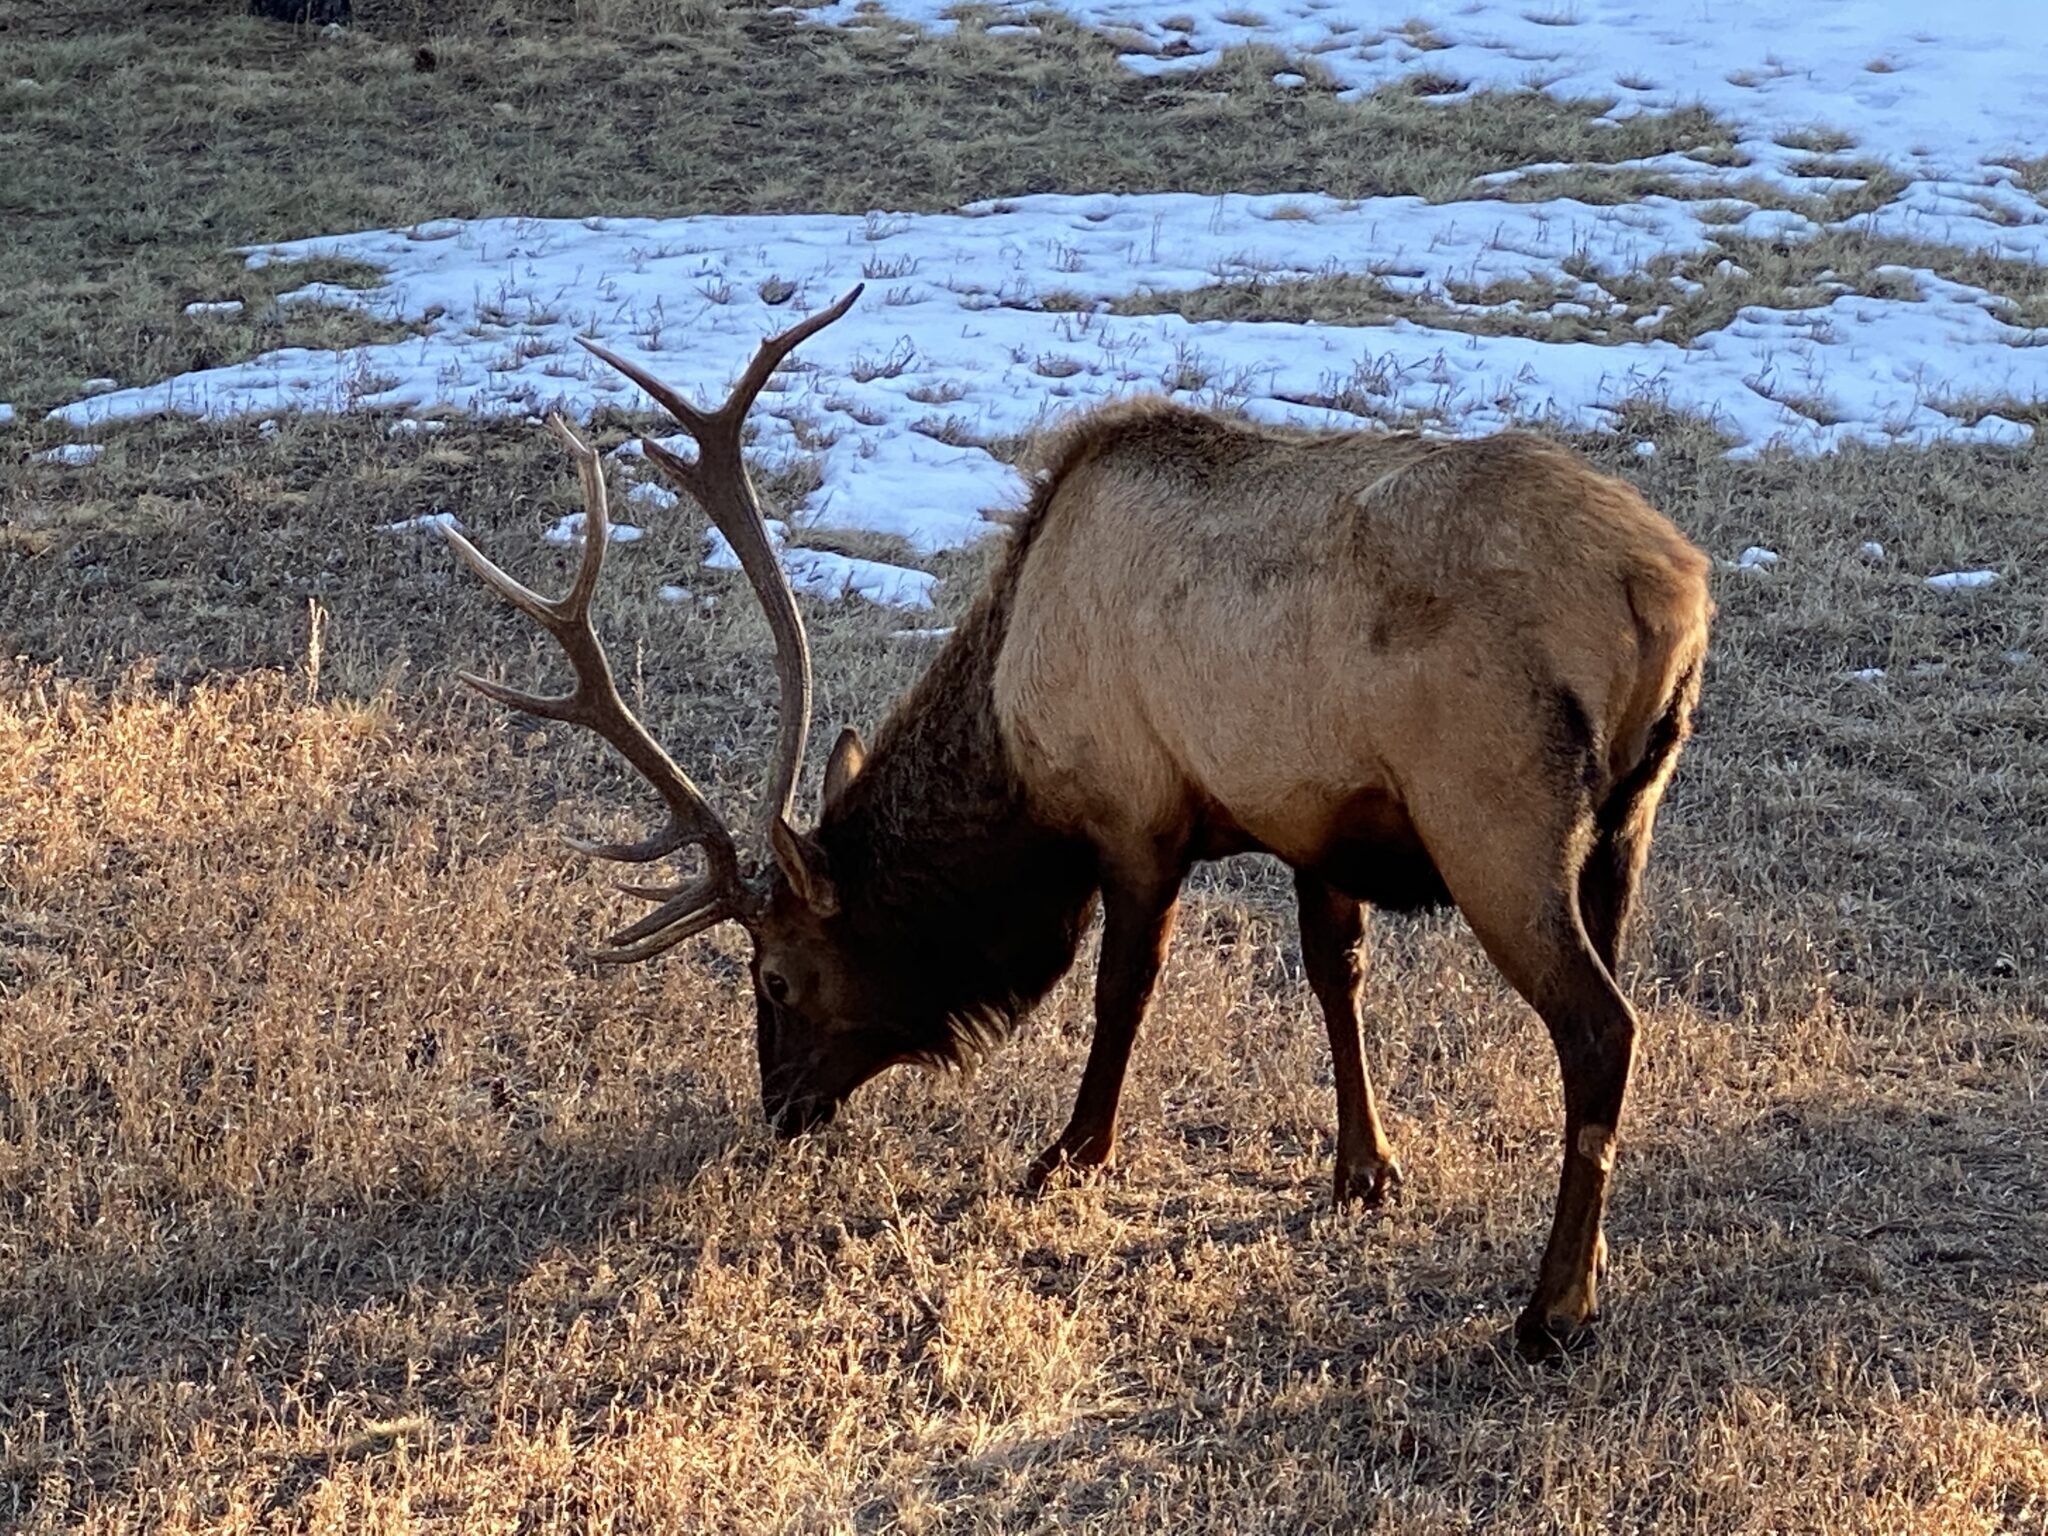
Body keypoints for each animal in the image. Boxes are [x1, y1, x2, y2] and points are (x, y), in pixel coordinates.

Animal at [440, 285, 1713, 1359]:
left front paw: (1065, 1154)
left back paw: (1550, 1310)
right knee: (1612, 1005)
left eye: (774, 978)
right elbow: (1332, 975)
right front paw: (1362, 1168)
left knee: (1600, 1027)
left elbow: (1119, 990)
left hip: (1493, 816)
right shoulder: (1307, 815)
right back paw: (1590, 1267)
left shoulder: (1134, 811)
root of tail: (1669, 593)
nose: (780, 1111)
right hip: (1624, 826)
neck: (1015, 734)